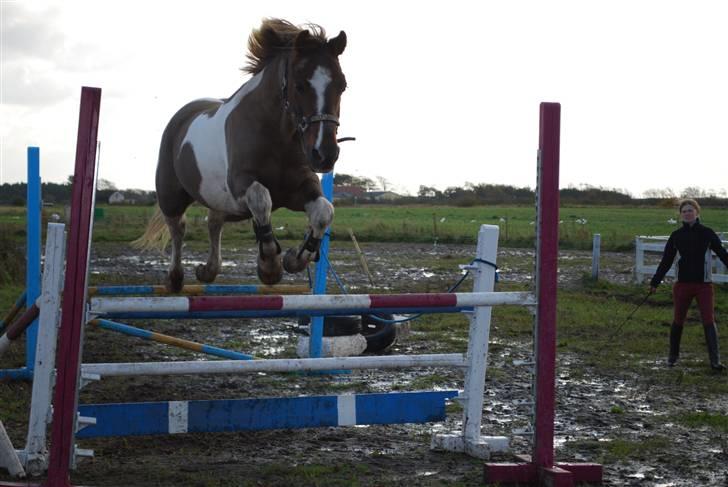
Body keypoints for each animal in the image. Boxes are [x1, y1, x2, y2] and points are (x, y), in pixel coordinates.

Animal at [134, 19, 348, 292]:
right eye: (300, 86)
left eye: (342, 86)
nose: (325, 154)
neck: (278, 137)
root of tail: (182, 116)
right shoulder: (241, 186)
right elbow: (261, 199)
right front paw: (269, 267)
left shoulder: (301, 188)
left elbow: (324, 212)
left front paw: (294, 258)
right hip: (172, 195)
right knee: (178, 228)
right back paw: (174, 278)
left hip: (226, 206)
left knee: (213, 222)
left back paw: (208, 270)